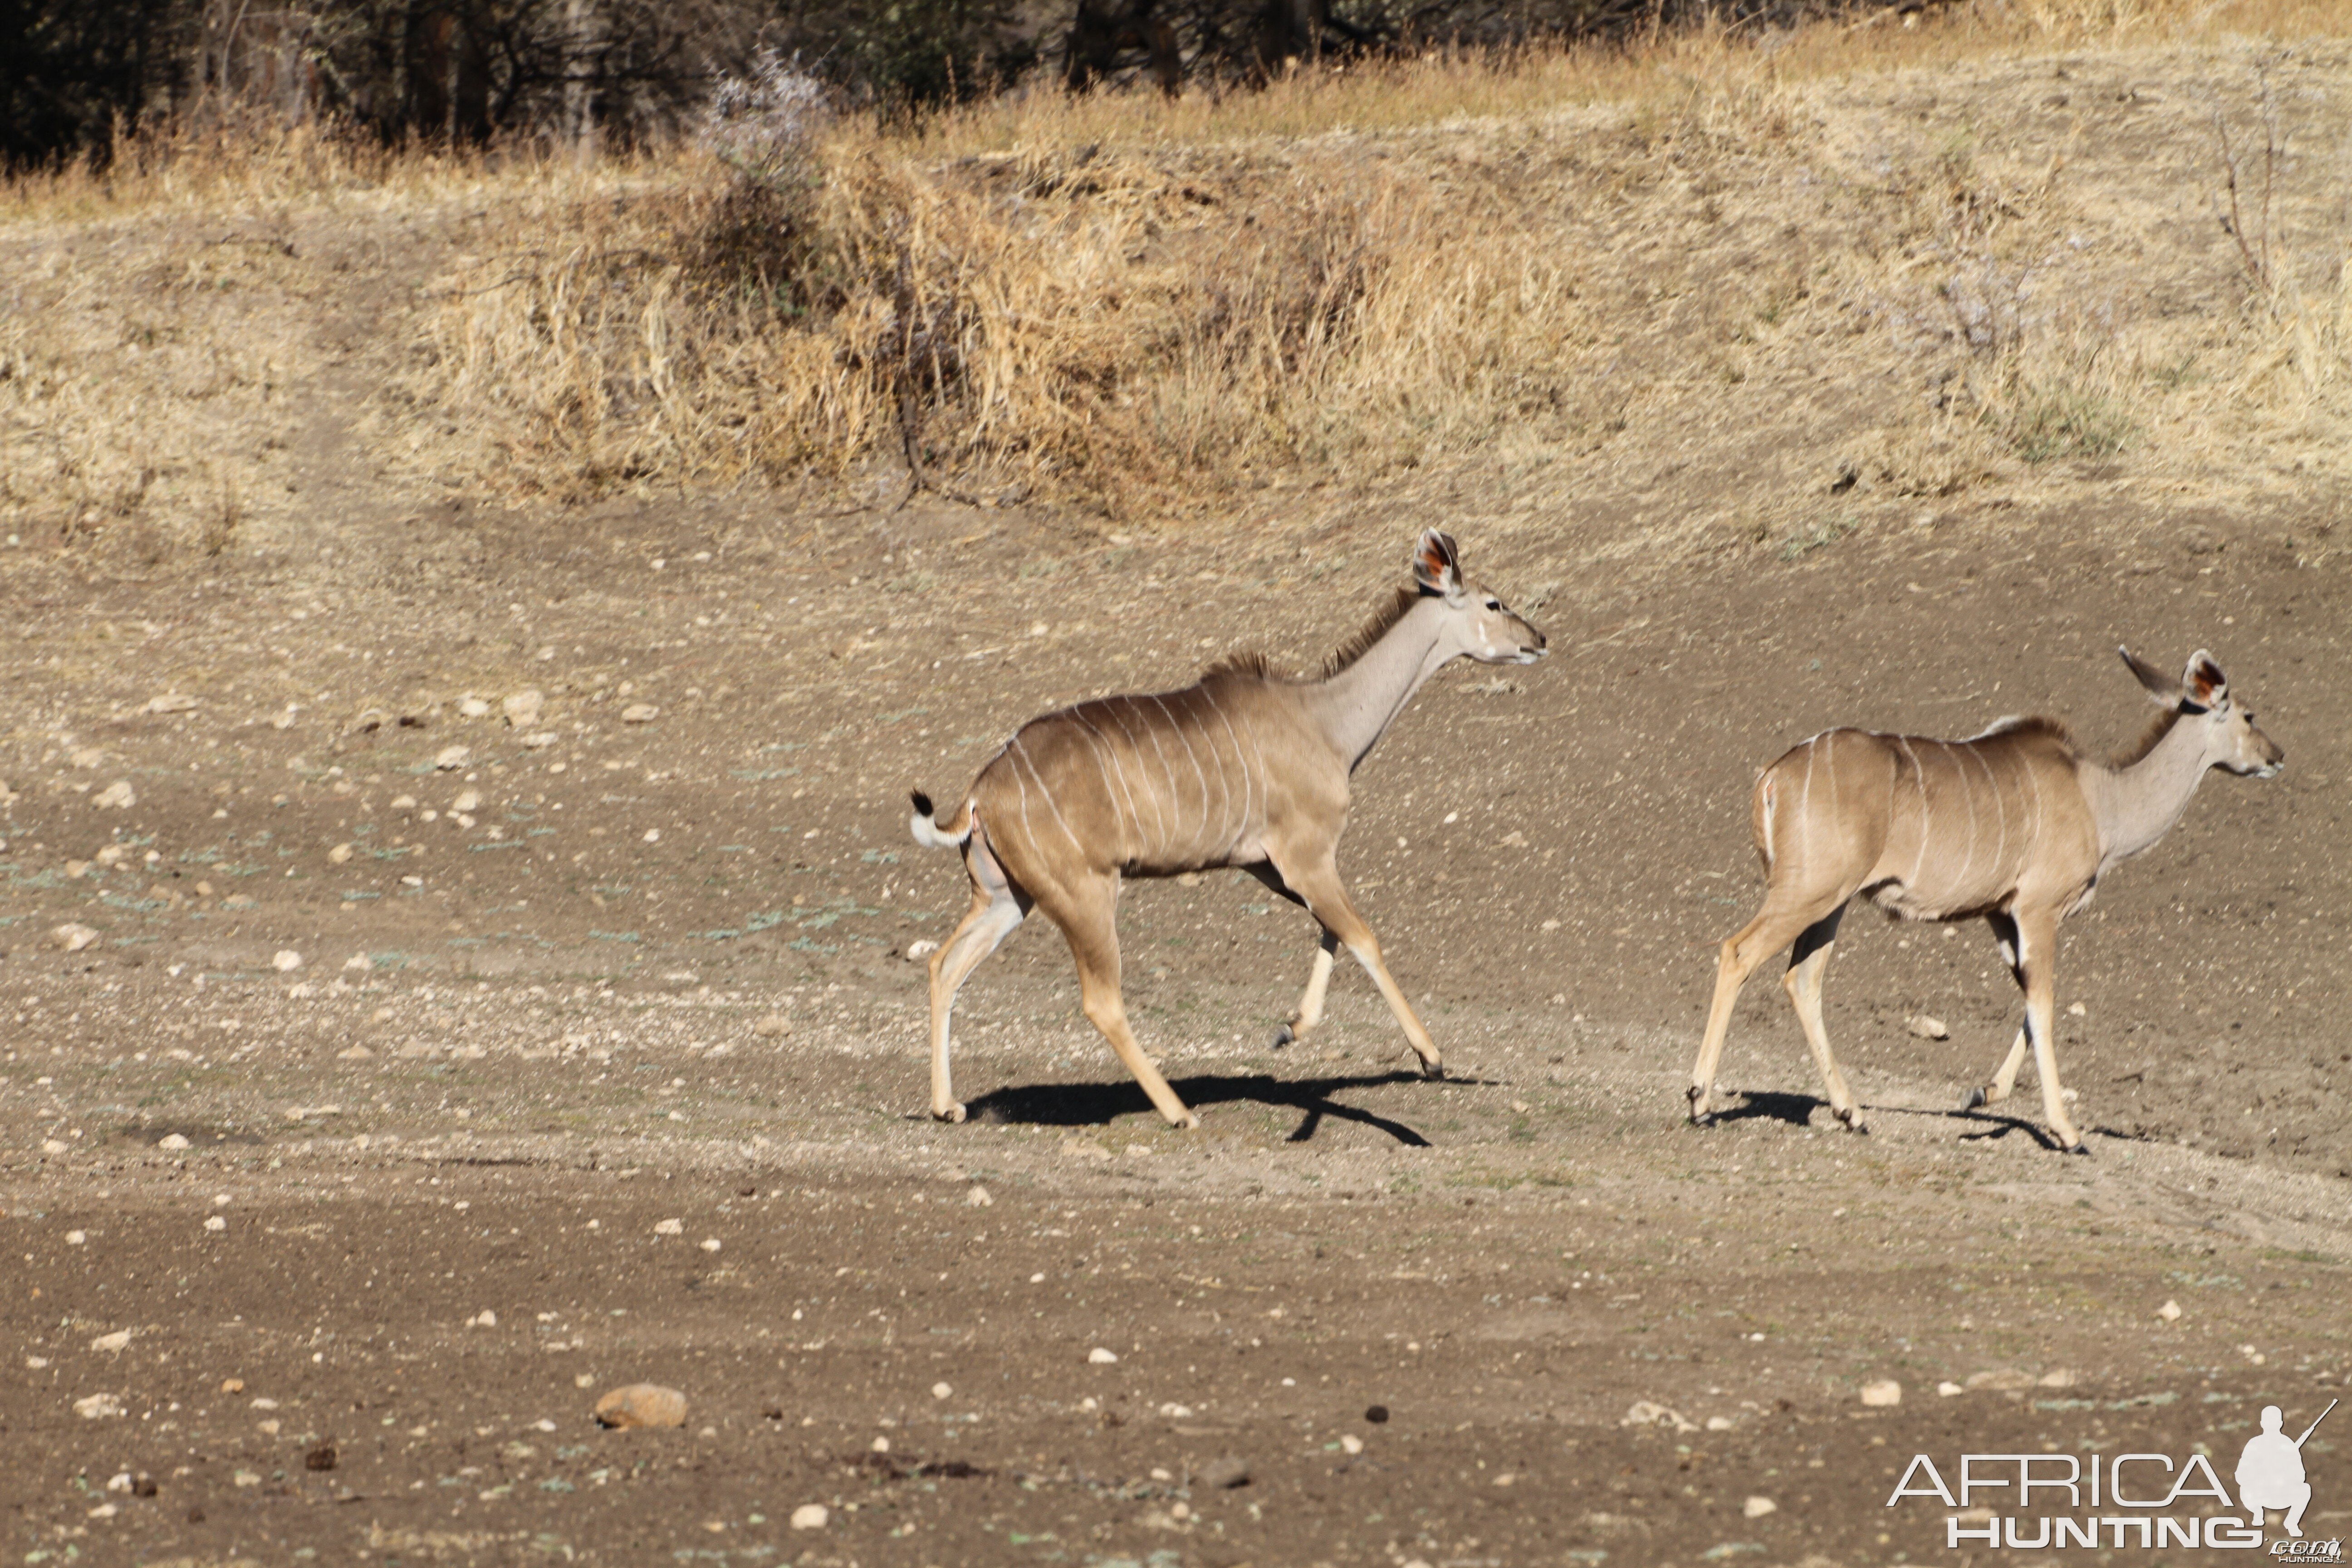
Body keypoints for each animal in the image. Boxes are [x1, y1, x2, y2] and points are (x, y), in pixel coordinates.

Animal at [898, 534, 1543, 1123]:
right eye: (1493, 603)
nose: (1538, 639)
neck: (1324, 722)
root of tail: (982, 792)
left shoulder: (1268, 867)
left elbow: (1330, 931)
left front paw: (1290, 1029)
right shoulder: (1306, 857)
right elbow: (1363, 937)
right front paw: (1430, 1057)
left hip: (1009, 896)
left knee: (943, 966)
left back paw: (947, 1106)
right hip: (1086, 893)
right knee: (1100, 1000)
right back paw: (1179, 1111)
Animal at [1693, 649, 2277, 1152]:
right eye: (2249, 715)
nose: (2278, 755)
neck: (2102, 799)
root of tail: (1774, 776)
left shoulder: (2001, 914)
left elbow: (2028, 1001)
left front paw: (1982, 1093)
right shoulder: (2039, 909)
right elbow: (2044, 1005)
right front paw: (2067, 1131)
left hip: (1832, 900)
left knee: (1803, 979)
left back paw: (1851, 1112)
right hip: (1808, 892)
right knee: (1738, 952)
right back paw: (1699, 1100)